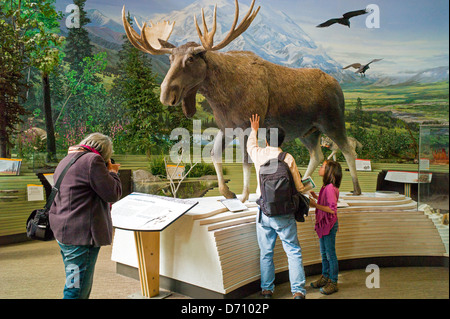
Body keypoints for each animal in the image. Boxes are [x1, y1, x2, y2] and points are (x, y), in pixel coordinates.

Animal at [122, 0, 362, 201]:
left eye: (190, 58)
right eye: (170, 58)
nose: (165, 94)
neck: (221, 96)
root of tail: (338, 87)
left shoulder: (248, 126)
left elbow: (247, 161)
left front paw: (246, 195)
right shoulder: (227, 127)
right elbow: (214, 154)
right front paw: (228, 192)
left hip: (332, 121)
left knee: (348, 149)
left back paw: (356, 189)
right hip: (308, 131)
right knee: (317, 154)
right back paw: (303, 184)